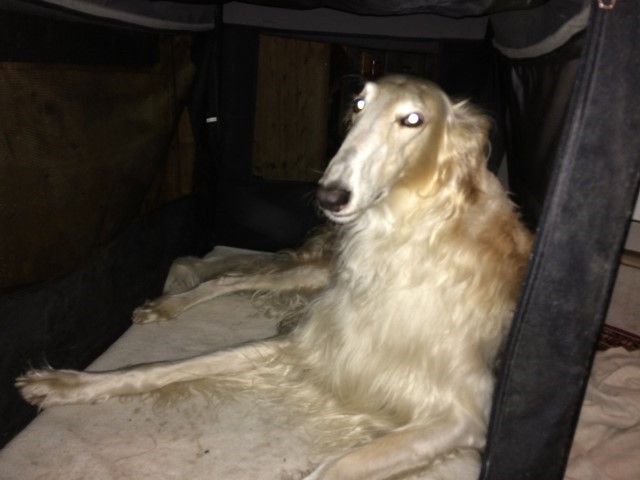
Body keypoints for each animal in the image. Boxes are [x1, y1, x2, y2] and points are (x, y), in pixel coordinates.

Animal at [17, 75, 532, 480]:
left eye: (413, 120)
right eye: (358, 105)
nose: (328, 196)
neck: (399, 246)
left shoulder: (466, 416)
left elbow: (337, 467)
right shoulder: (311, 343)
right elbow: (161, 367)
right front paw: (69, 384)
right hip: (317, 274)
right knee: (232, 277)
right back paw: (168, 303)